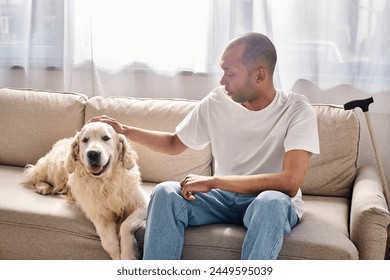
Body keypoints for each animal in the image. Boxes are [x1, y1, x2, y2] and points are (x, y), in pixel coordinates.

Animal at [23, 122, 148, 260]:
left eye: (106, 138)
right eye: (85, 140)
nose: (93, 153)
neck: (104, 181)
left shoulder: (144, 204)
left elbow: (126, 225)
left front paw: (128, 253)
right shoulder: (97, 214)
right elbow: (109, 243)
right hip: (52, 166)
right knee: (33, 175)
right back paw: (44, 187)